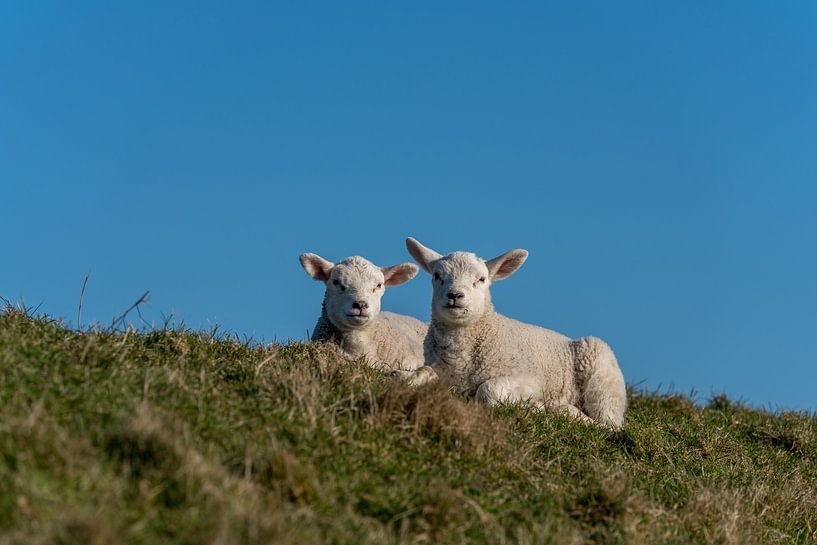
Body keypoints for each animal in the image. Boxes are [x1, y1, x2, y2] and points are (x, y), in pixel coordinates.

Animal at [397, 237, 627, 429]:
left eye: (481, 279)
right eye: (437, 276)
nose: (455, 295)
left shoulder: (531, 379)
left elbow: (487, 390)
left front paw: (533, 407)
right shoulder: (444, 374)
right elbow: (425, 372)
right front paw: (406, 376)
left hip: (603, 383)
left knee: (610, 426)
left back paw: (565, 411)